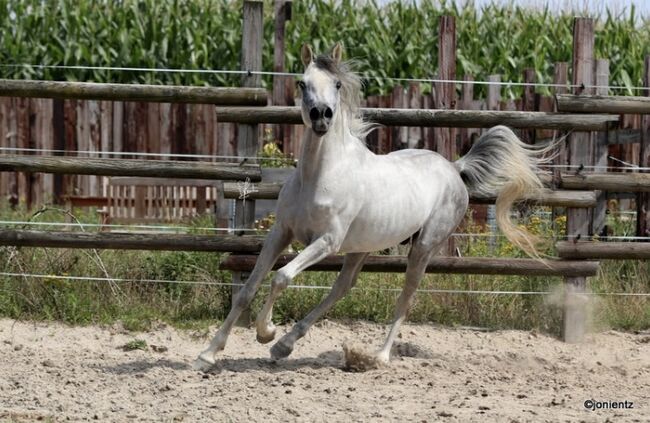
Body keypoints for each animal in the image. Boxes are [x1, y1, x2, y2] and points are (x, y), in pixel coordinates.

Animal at [192, 43, 548, 372]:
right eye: (302, 83)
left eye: (337, 84)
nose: (322, 116)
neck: (319, 176)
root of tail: (454, 167)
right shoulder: (281, 233)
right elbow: (248, 288)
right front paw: (208, 354)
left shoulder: (327, 241)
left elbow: (281, 277)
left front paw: (265, 331)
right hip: (362, 247)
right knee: (342, 287)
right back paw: (285, 346)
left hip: (423, 247)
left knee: (405, 298)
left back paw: (378, 356)